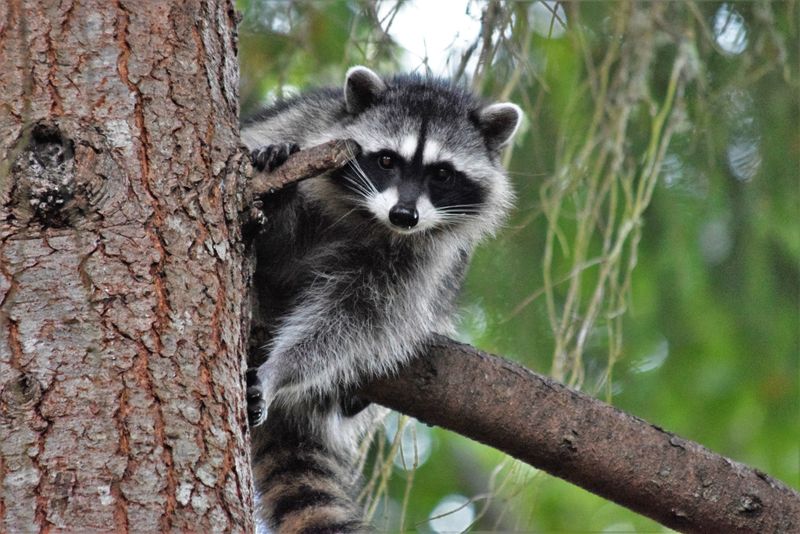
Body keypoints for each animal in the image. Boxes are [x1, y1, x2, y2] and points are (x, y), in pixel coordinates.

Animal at [242, 66, 521, 533]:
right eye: (387, 160)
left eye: (441, 173)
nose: (404, 215)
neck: (370, 217)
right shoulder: (295, 128)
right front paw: (279, 197)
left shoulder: (423, 260)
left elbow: (356, 318)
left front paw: (280, 369)